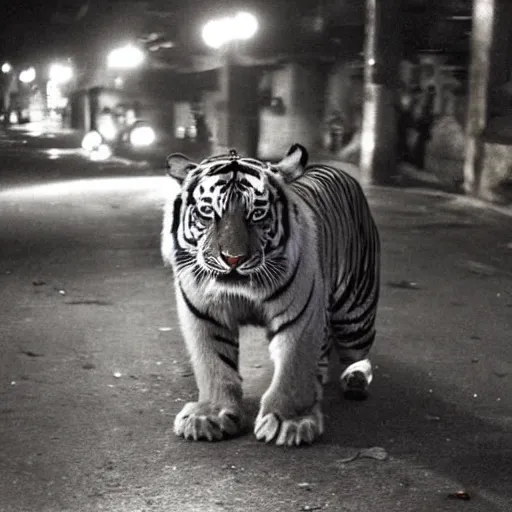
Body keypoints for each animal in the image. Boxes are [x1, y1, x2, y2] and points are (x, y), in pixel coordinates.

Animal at [161, 143, 380, 444]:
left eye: (257, 213)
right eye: (207, 211)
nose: (233, 259)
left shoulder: (301, 313)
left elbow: (293, 365)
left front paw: (289, 421)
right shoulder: (203, 313)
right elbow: (213, 364)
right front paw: (210, 415)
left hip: (354, 316)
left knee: (359, 353)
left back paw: (354, 379)